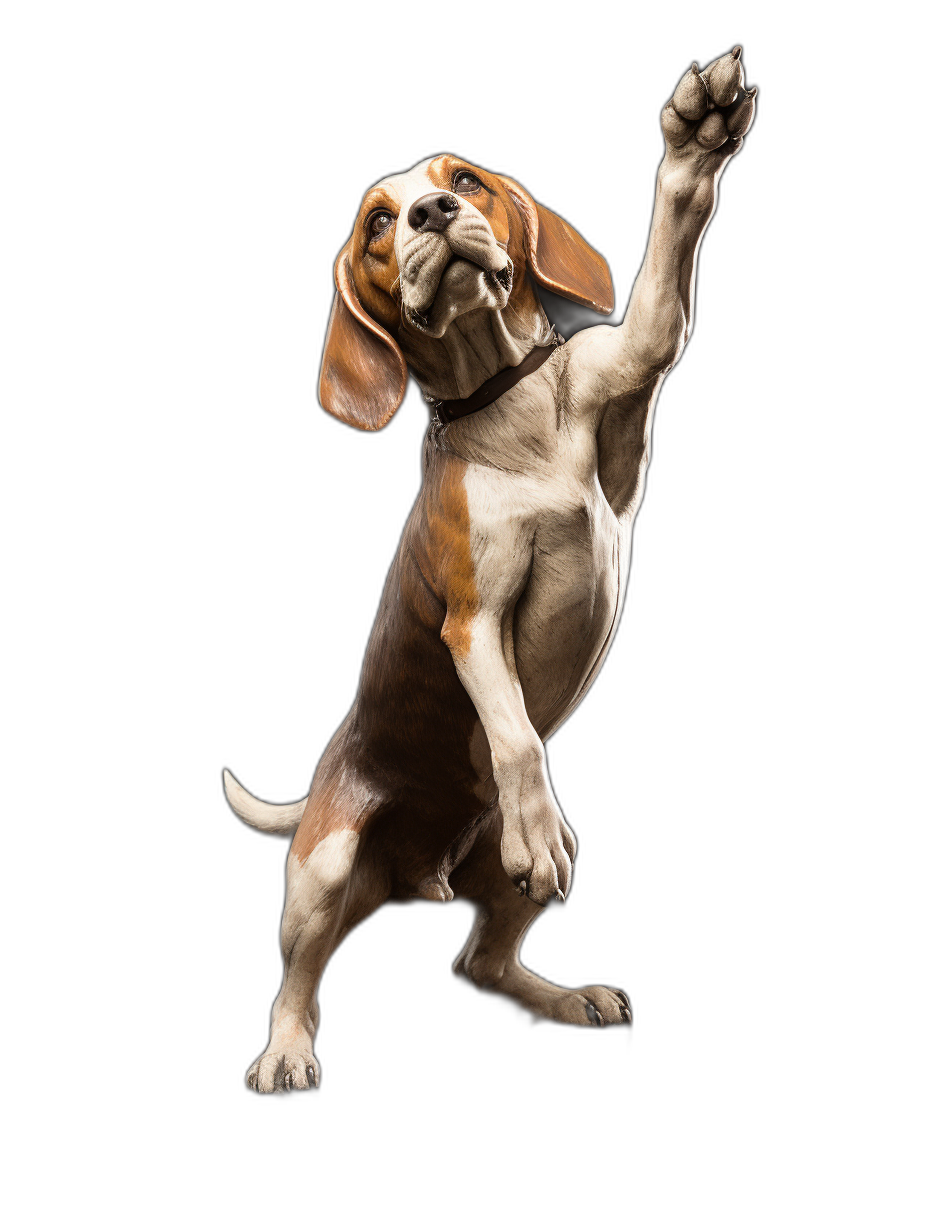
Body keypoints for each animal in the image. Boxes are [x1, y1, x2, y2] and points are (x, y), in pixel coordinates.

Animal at [224, 48, 754, 1094]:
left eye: (463, 178)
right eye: (376, 222)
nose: (430, 214)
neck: (507, 405)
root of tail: (419, 874)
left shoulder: (635, 368)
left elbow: (667, 262)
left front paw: (697, 134)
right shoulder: (474, 620)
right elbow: (513, 736)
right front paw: (531, 816)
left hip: (493, 887)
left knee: (480, 961)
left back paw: (561, 996)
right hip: (327, 868)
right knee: (300, 977)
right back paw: (286, 1051)